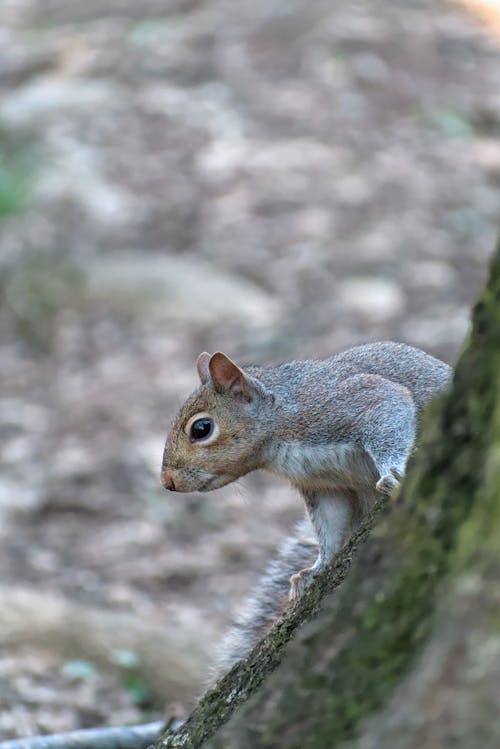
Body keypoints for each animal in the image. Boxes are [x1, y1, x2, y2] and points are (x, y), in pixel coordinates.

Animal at [162, 342, 452, 668]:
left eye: (201, 428)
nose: (167, 481)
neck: (276, 433)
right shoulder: (324, 487)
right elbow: (330, 526)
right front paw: (316, 569)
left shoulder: (346, 401)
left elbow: (389, 409)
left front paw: (393, 472)